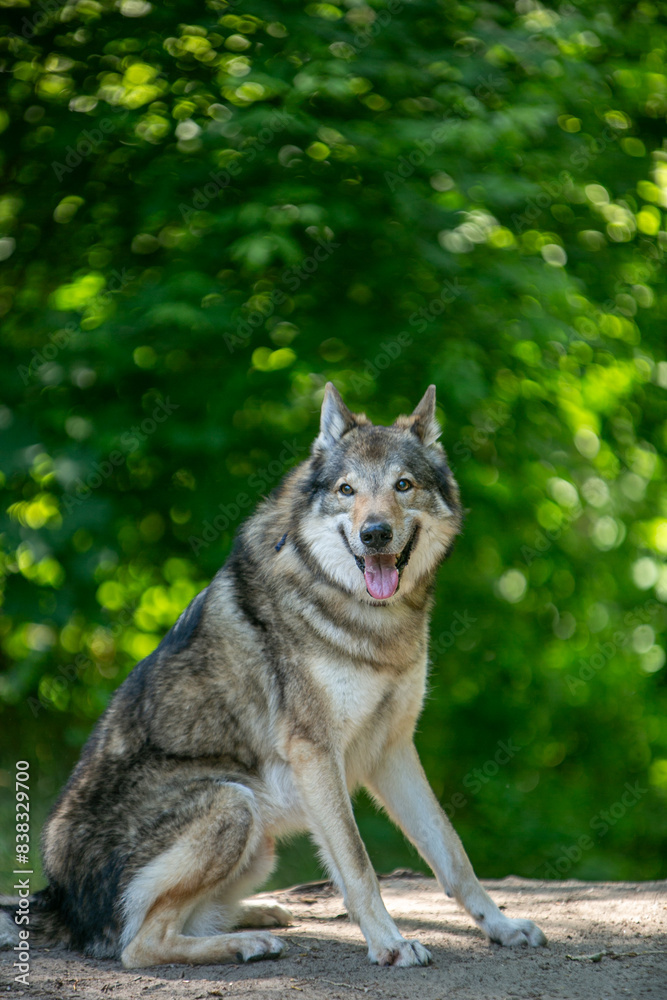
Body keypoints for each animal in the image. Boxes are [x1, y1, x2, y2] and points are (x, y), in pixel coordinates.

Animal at [1, 384, 546, 968]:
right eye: (347, 490)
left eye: (403, 485)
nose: (375, 533)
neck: (366, 616)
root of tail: (57, 900)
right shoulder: (316, 753)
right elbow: (359, 865)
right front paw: (390, 944)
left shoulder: (393, 749)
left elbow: (452, 853)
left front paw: (502, 927)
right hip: (235, 803)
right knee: (139, 946)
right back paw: (247, 943)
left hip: (259, 843)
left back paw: (259, 916)